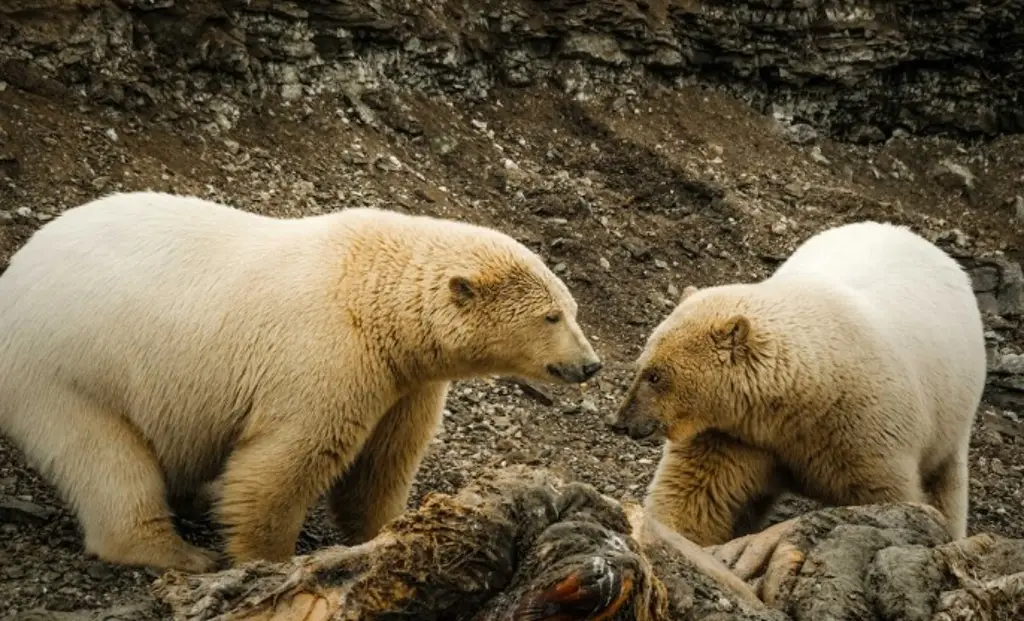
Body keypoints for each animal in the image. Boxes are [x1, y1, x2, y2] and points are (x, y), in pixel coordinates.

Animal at [0, 191, 603, 573]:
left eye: (573, 310)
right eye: (550, 316)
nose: (590, 364)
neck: (371, 293)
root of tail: (19, 269)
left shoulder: (405, 381)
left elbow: (383, 462)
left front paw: (388, 532)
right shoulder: (324, 356)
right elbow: (287, 463)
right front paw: (267, 560)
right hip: (69, 369)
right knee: (105, 458)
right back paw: (177, 552)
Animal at [609, 220, 986, 546]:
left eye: (656, 375)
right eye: (640, 365)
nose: (621, 422)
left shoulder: (865, 429)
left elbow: (886, 493)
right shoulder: (738, 433)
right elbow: (697, 489)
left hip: (953, 404)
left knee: (947, 480)